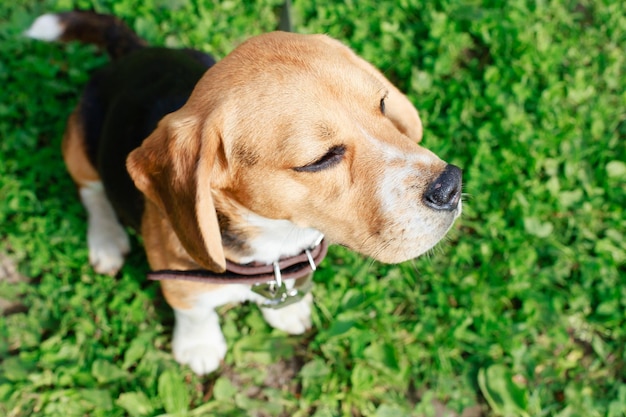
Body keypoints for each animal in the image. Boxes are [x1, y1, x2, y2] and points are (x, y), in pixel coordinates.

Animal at [26, 10, 460, 374]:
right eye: (318, 160)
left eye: (383, 104)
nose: (451, 186)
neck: (278, 237)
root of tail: (135, 53)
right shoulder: (178, 274)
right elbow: (193, 309)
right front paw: (199, 345)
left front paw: (287, 310)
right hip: (76, 145)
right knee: (92, 193)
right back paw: (106, 240)